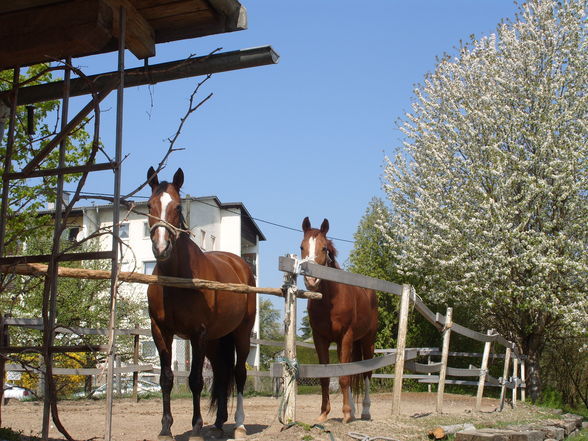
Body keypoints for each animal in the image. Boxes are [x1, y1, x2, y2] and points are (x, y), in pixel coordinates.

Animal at [146, 167, 256, 438]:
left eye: (177, 207)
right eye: (150, 205)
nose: (161, 247)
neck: (178, 279)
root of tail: (241, 265)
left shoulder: (198, 333)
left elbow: (195, 380)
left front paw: (196, 426)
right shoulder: (160, 331)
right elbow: (166, 378)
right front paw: (165, 428)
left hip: (241, 333)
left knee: (238, 373)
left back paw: (239, 424)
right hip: (217, 340)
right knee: (221, 372)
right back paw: (218, 422)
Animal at [300, 217, 378, 422]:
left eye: (324, 248)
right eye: (301, 246)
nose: (311, 280)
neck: (329, 301)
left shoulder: (346, 337)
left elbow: (344, 378)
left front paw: (346, 414)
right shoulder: (320, 339)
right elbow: (326, 377)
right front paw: (323, 414)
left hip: (367, 341)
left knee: (366, 374)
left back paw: (365, 411)